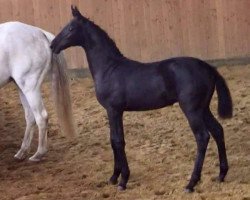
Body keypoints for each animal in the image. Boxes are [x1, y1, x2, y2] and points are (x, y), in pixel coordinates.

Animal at [0, 21, 74, 162]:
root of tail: (40, 33)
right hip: (22, 87)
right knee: (30, 117)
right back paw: (22, 152)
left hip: (30, 87)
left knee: (41, 117)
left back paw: (38, 154)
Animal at [50, 5, 232, 191]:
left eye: (70, 28)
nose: (52, 45)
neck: (109, 68)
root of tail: (208, 67)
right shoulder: (114, 111)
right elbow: (113, 140)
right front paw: (114, 177)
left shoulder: (114, 110)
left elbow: (118, 140)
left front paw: (123, 180)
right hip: (203, 108)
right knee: (218, 130)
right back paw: (221, 174)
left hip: (192, 110)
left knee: (202, 137)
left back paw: (191, 183)